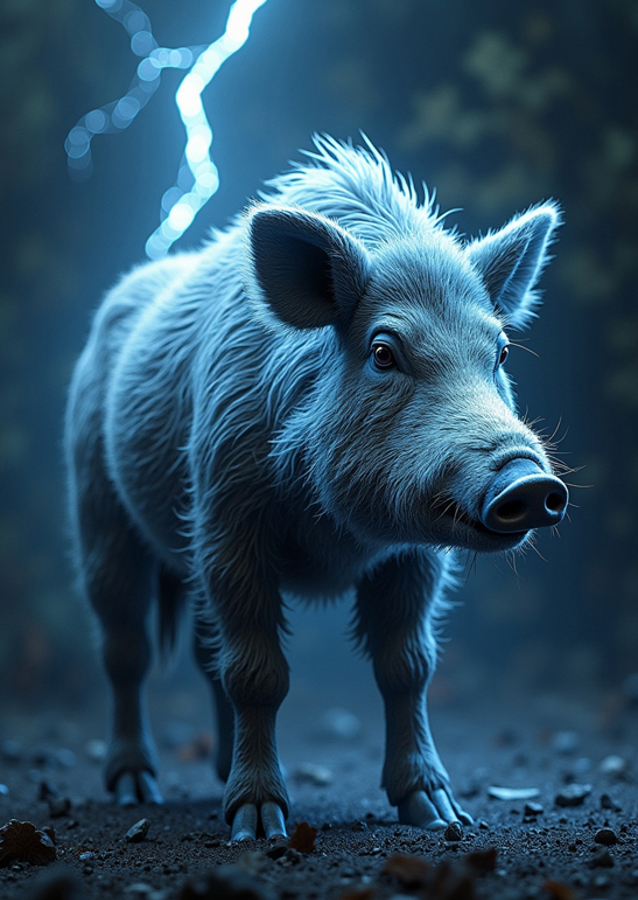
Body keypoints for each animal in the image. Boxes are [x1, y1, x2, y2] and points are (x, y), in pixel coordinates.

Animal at [65, 135, 568, 840]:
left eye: (499, 351)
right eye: (383, 351)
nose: (529, 478)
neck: (340, 531)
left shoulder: (414, 556)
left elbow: (408, 666)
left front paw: (440, 814)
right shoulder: (226, 516)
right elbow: (259, 672)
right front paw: (259, 826)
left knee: (203, 651)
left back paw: (215, 774)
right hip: (99, 509)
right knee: (125, 648)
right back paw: (138, 791)